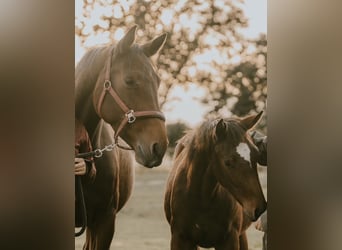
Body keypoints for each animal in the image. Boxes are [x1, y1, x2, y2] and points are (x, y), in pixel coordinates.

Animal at [164, 112, 266, 249]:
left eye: (257, 155)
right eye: (228, 162)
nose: (259, 207)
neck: (201, 199)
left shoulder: (229, 240)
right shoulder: (180, 239)